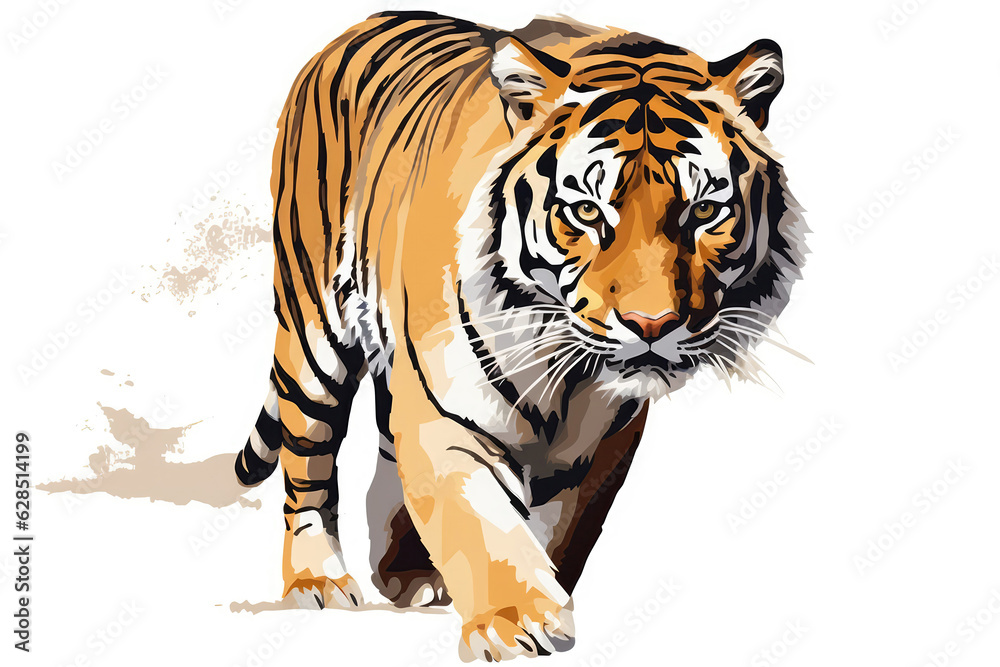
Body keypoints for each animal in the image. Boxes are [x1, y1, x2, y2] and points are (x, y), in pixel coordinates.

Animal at [234, 10, 807, 662]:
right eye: (587, 212)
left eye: (705, 211)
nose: (652, 326)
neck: (568, 371)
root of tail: (361, 22)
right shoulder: (447, 417)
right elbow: (480, 525)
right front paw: (517, 623)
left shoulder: (603, 441)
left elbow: (564, 529)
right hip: (313, 335)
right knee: (308, 467)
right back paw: (319, 580)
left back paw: (407, 576)